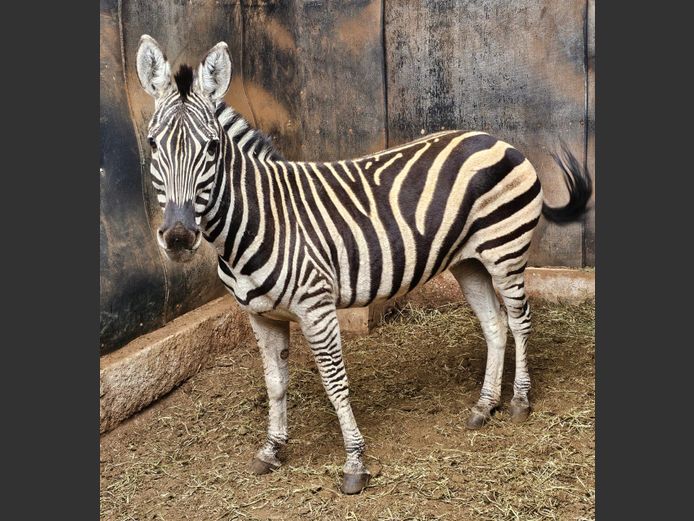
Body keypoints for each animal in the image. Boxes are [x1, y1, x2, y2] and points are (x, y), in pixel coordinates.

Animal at [135, 36, 592, 494]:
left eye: (212, 147)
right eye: (154, 144)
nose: (178, 237)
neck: (259, 218)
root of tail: (494, 138)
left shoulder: (316, 308)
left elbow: (335, 383)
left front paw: (355, 462)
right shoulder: (261, 315)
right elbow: (276, 384)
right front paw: (272, 449)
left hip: (505, 250)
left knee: (520, 320)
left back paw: (519, 401)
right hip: (468, 261)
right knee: (495, 324)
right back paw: (484, 405)